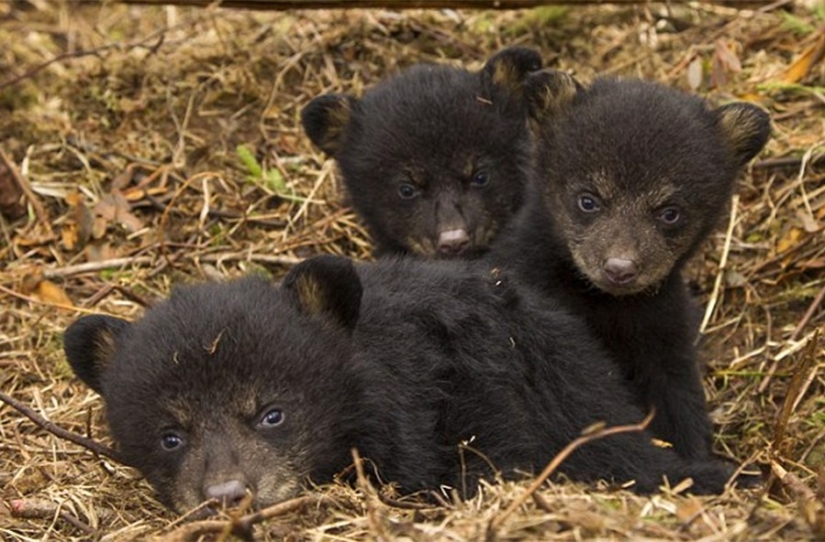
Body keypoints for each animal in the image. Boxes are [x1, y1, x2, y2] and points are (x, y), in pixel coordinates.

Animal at [490, 70, 771, 461]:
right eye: (588, 200)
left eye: (670, 213)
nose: (619, 269)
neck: (604, 306)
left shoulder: (664, 327)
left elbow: (678, 399)